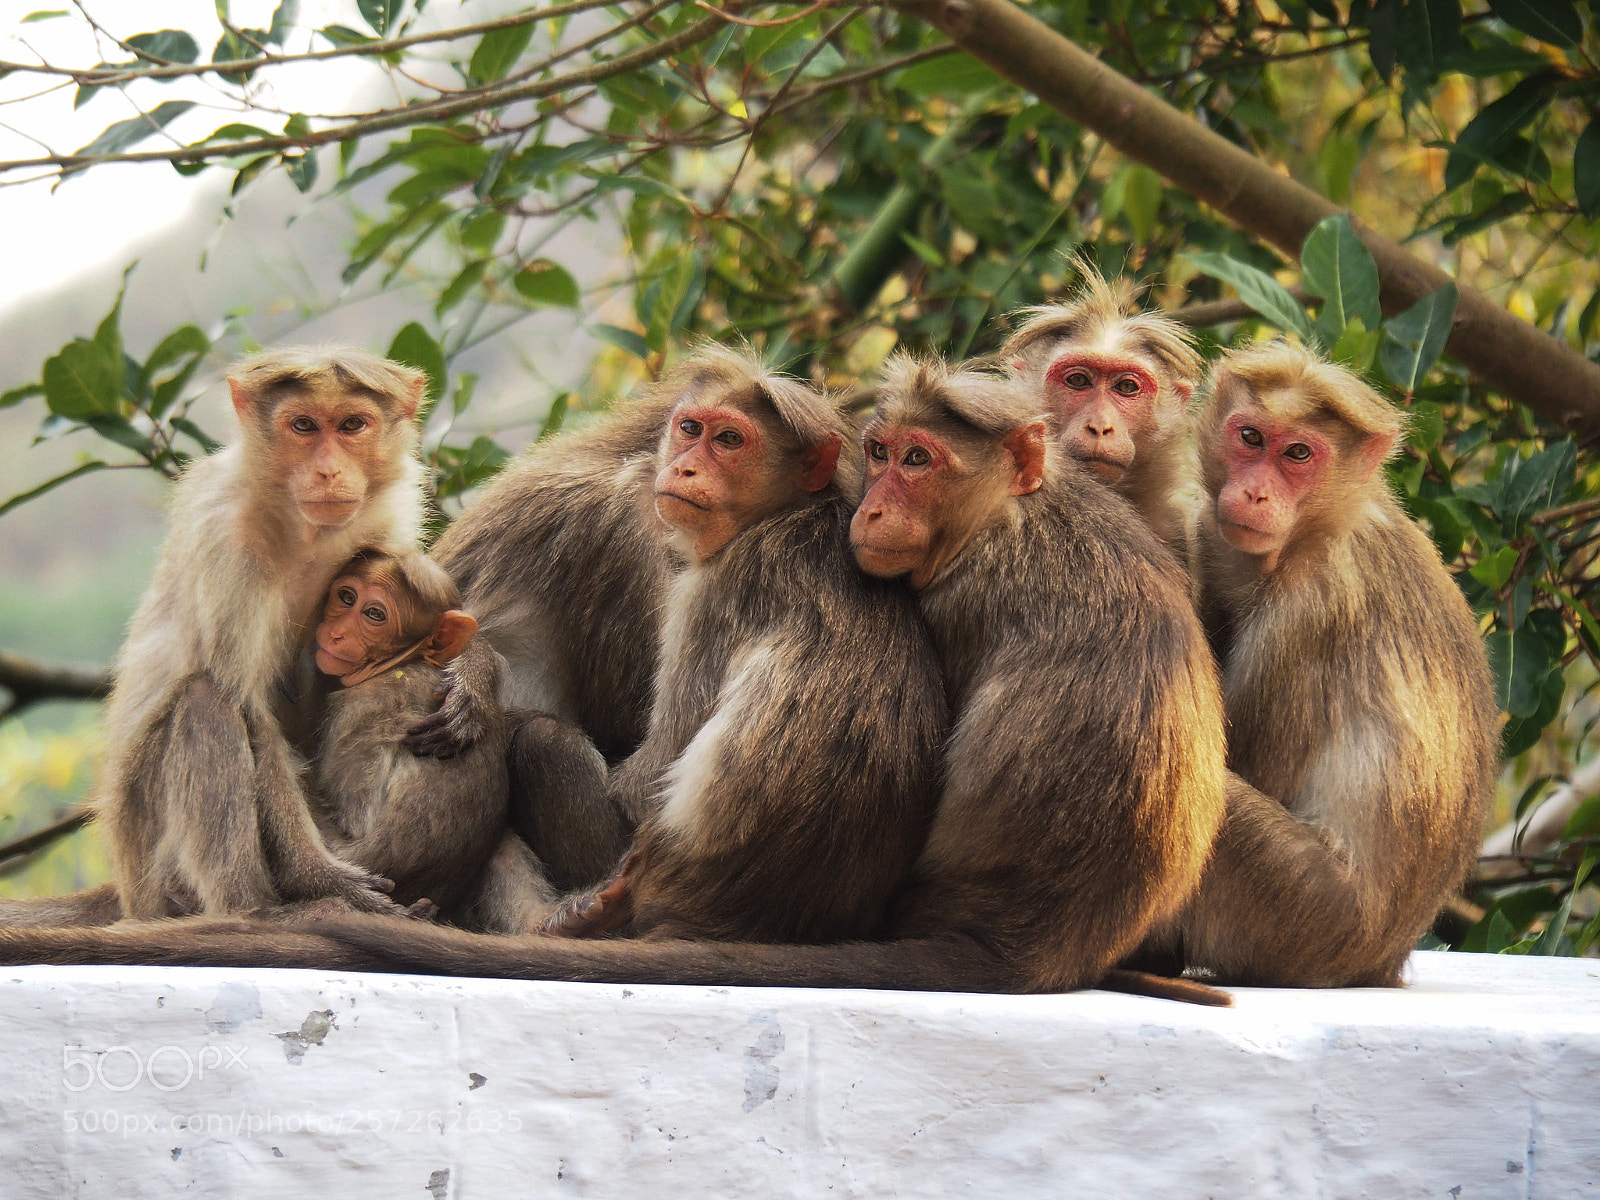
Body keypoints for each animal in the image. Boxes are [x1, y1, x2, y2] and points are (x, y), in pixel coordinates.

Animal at [94, 347, 429, 919]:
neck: (302, 530)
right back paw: (252, 908)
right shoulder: (226, 534)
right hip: (150, 853)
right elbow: (247, 704)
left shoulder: (385, 520)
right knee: (206, 702)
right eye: (303, 425)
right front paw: (320, 877)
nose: (327, 470)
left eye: (352, 425)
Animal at [1133, 340, 1499, 987]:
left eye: (1299, 453)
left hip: (1304, 916)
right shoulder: (1217, 536)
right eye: (1251, 437)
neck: (1312, 531)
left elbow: (1236, 759)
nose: (1255, 494)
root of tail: (1381, 959)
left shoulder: (1312, 608)